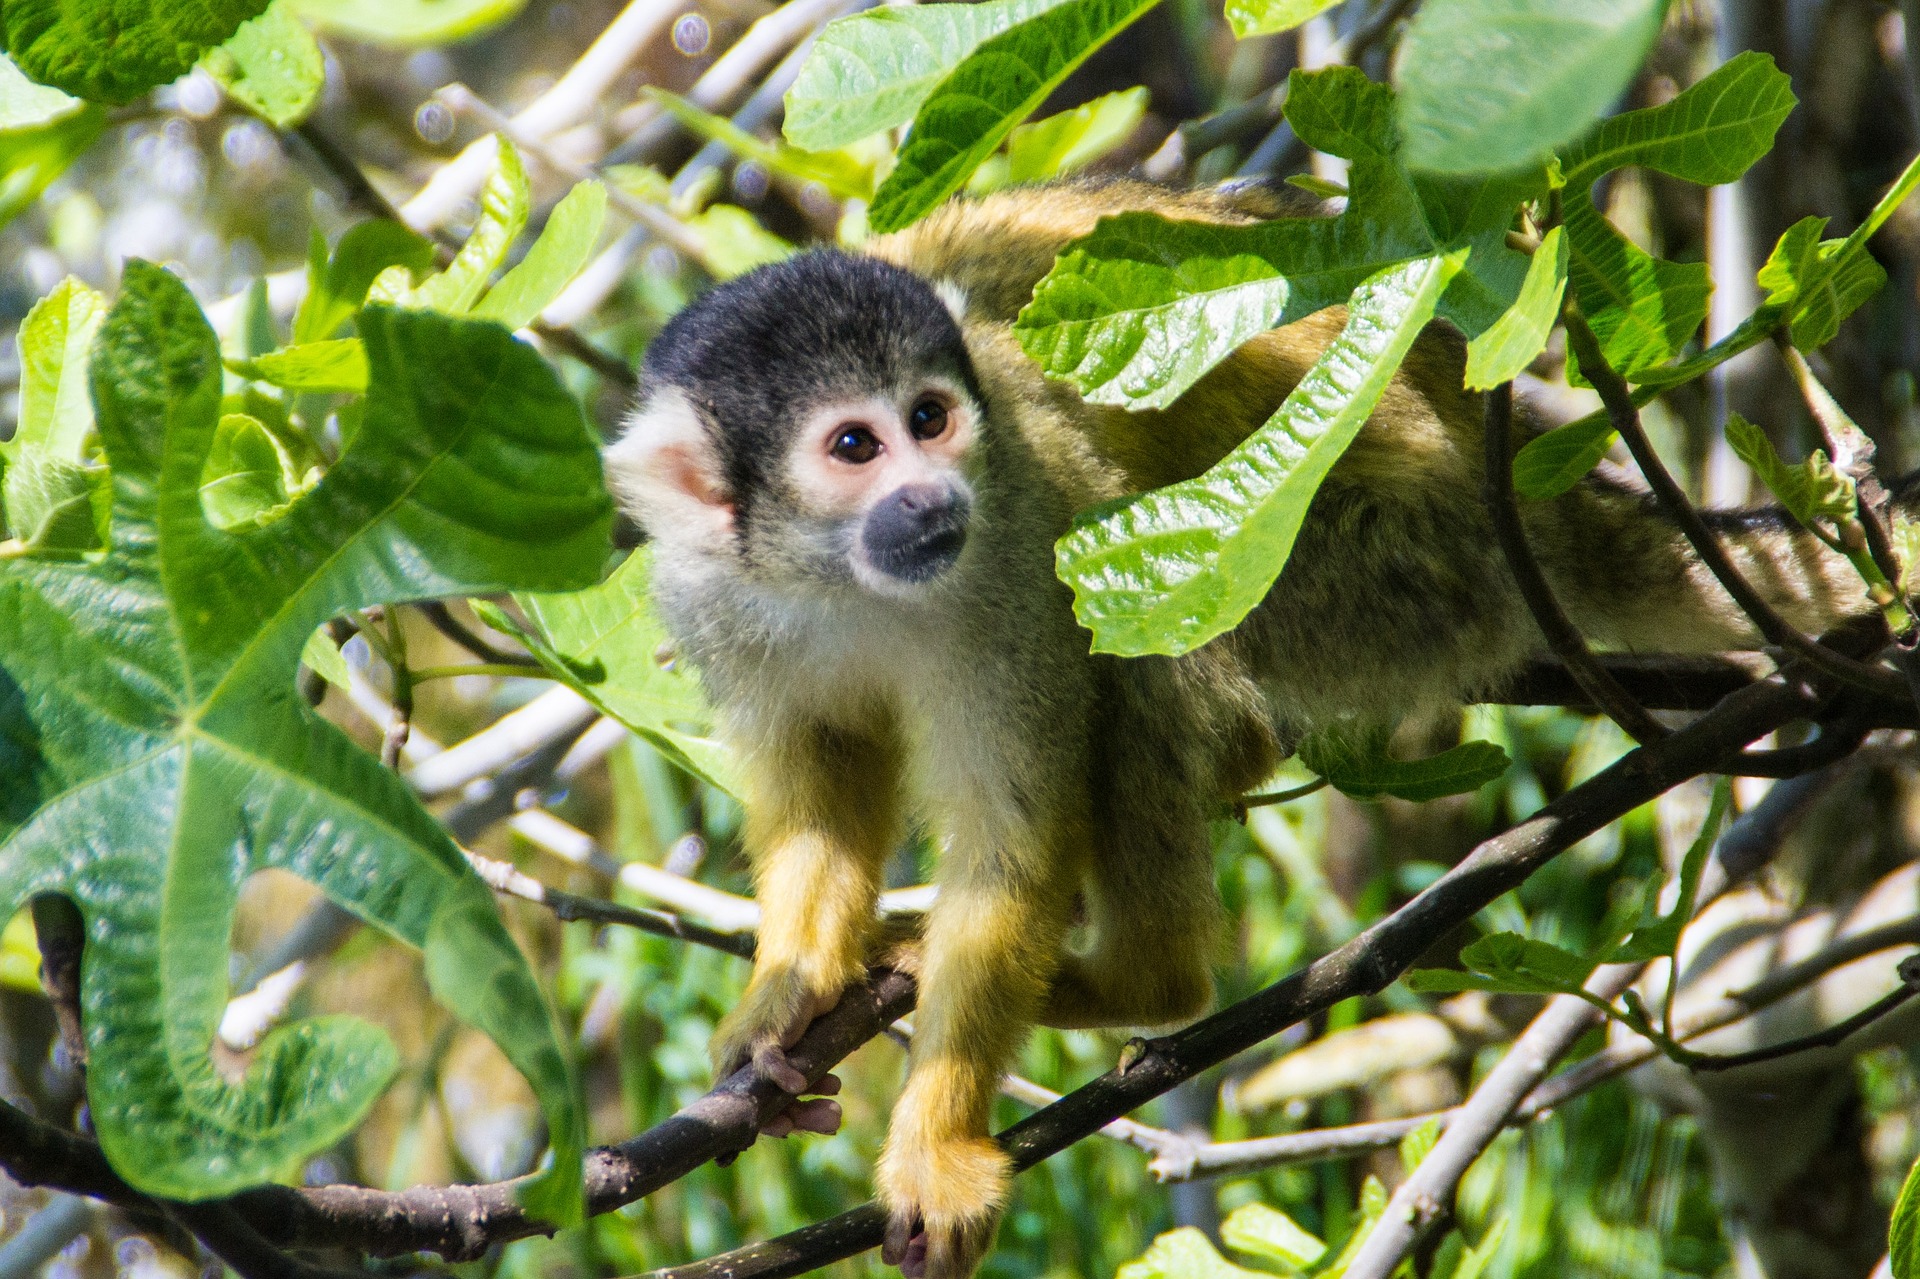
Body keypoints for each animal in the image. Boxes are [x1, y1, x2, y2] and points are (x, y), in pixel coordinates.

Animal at [602, 179, 1873, 1275]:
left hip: (1384, 561)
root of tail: (1528, 495)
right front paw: (787, 998)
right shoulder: (713, 594)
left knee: (1137, 621)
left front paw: (938, 1150)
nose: (934, 495)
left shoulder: (1010, 546)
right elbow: (818, 792)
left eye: (931, 418)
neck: (838, 579)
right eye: (855, 446)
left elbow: (1015, 832)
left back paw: (1148, 975)